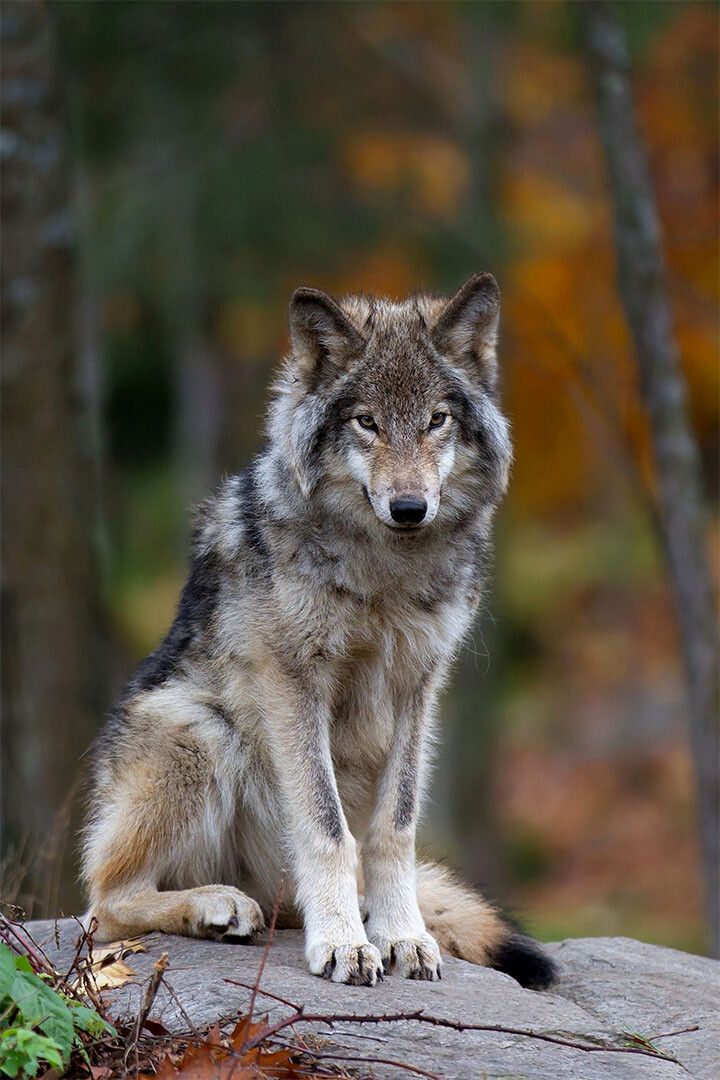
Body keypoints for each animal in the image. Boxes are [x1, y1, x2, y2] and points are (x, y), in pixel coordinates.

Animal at [82, 273, 557, 989]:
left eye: (436, 420)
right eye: (366, 422)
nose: (410, 507)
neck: (385, 570)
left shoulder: (419, 687)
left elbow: (393, 829)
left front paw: (400, 934)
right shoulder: (293, 680)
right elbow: (327, 827)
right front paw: (342, 944)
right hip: (200, 727)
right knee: (103, 907)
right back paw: (218, 906)